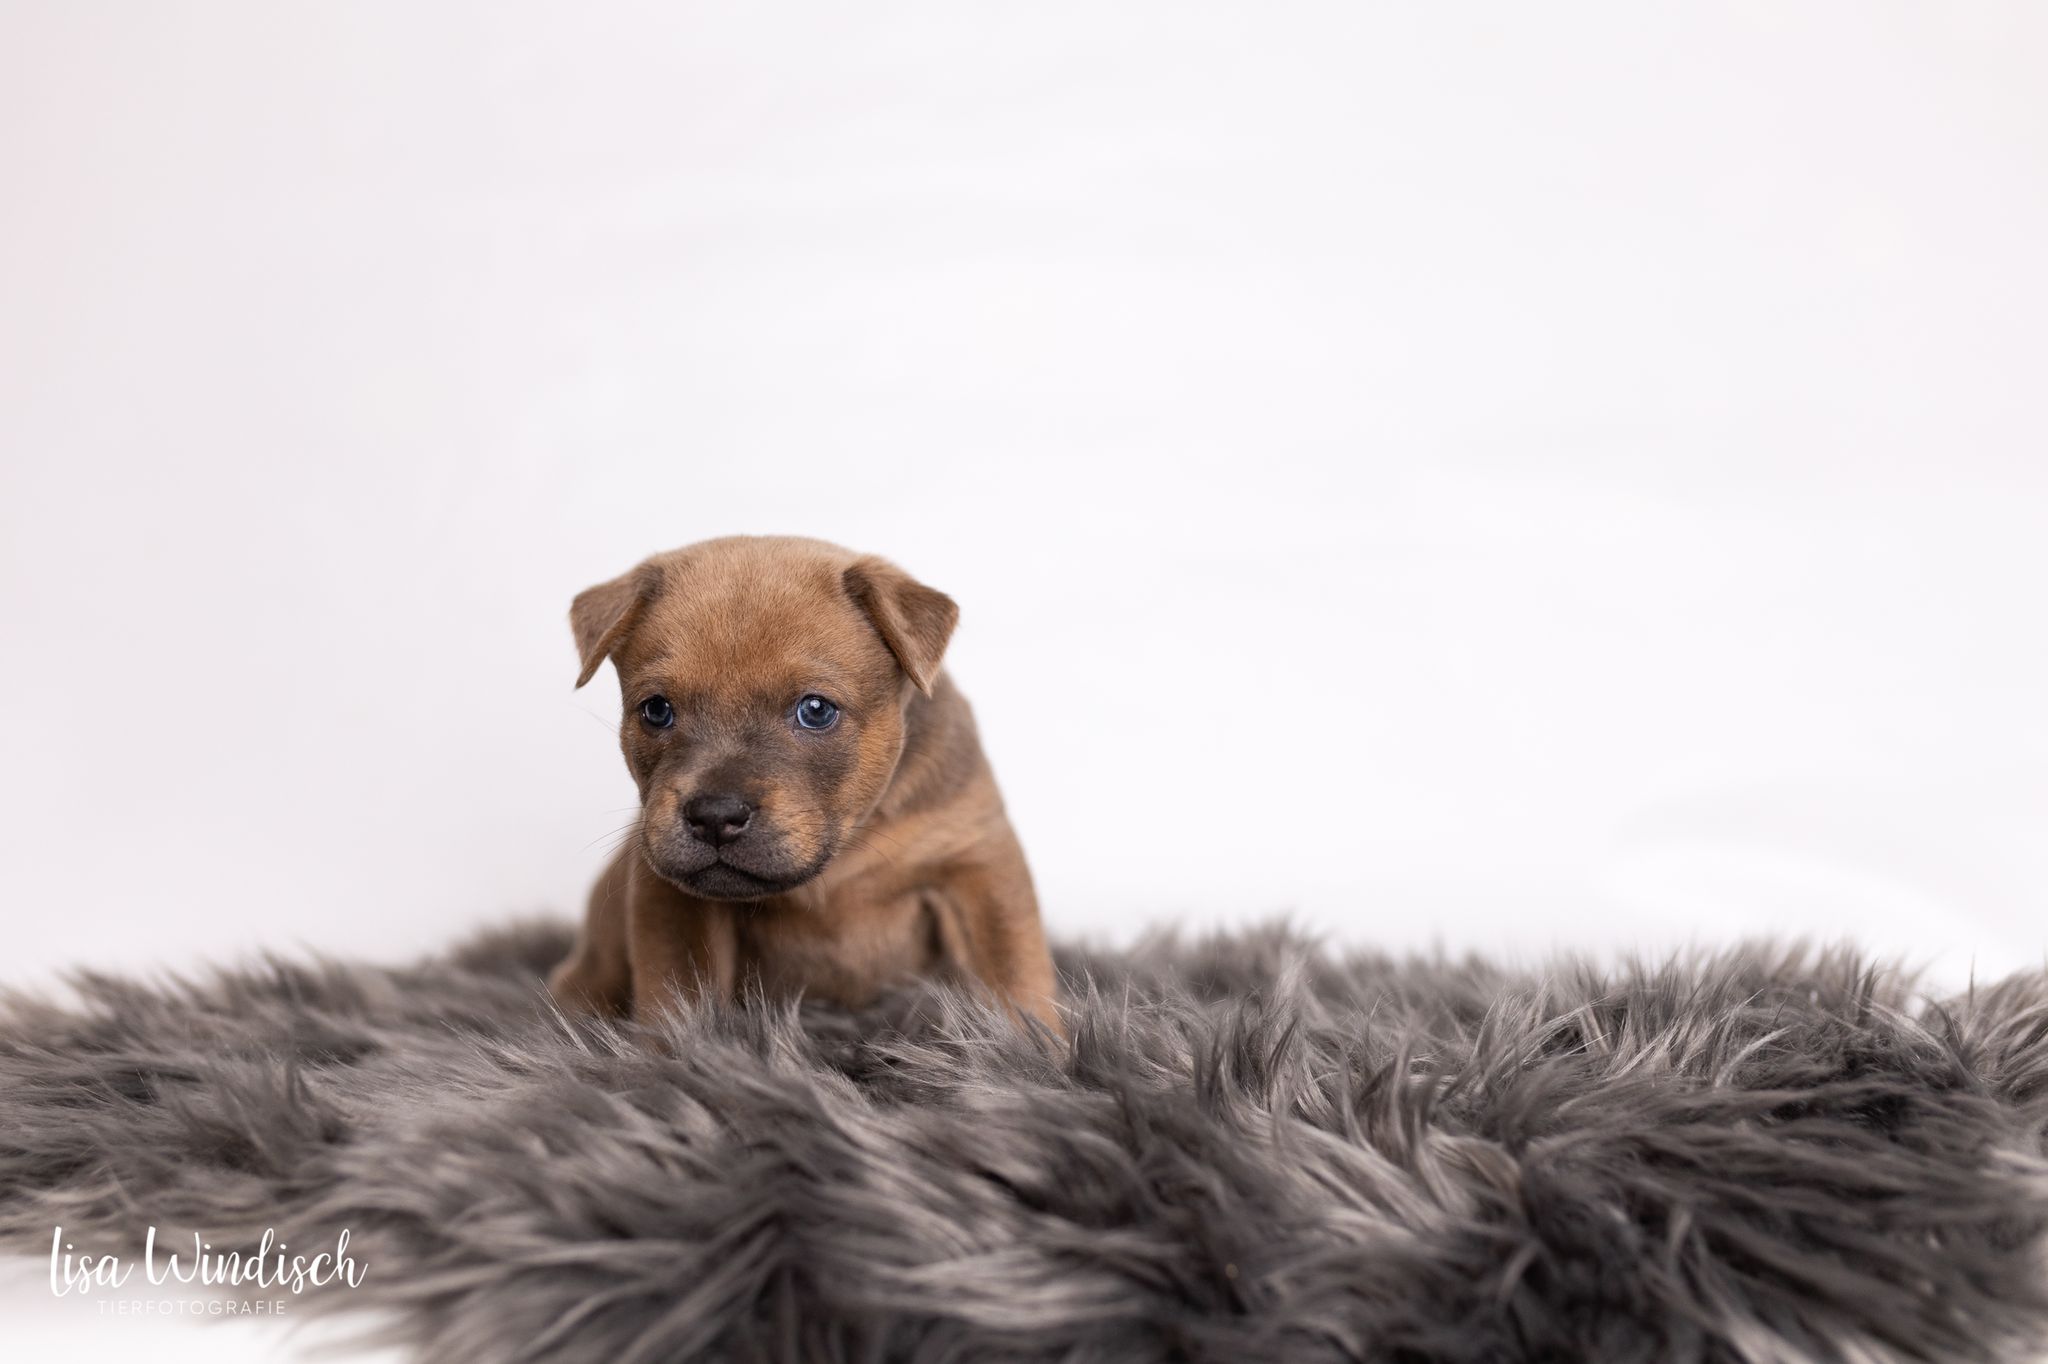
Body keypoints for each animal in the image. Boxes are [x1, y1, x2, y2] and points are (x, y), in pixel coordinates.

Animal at [546, 535, 1062, 1035]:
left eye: (815, 710)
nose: (715, 815)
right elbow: (678, 994)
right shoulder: (671, 899)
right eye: (656, 709)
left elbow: (1014, 978)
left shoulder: (978, 868)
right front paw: (677, 1050)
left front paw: (1031, 1049)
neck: (846, 847)